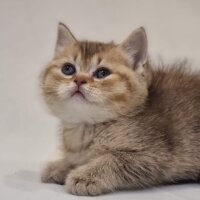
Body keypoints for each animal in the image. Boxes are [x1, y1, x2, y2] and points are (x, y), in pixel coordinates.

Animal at [40, 23, 200, 195]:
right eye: (68, 69)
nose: (79, 80)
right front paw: (61, 166)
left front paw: (85, 177)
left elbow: (113, 159)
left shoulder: (155, 154)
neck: (87, 126)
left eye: (102, 73)